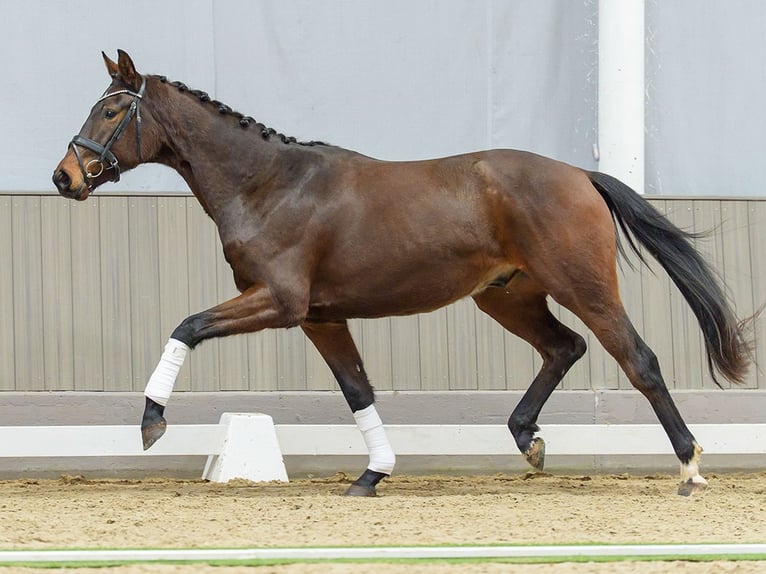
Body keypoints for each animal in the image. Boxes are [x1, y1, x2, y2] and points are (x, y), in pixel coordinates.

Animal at [53, 50, 751, 496]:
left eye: (111, 112)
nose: (65, 177)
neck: (268, 185)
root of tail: (580, 174)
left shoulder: (279, 301)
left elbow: (186, 326)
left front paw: (151, 421)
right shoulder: (320, 317)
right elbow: (357, 391)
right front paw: (373, 475)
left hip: (584, 286)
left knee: (639, 360)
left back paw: (689, 468)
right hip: (506, 298)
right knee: (565, 348)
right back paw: (527, 438)